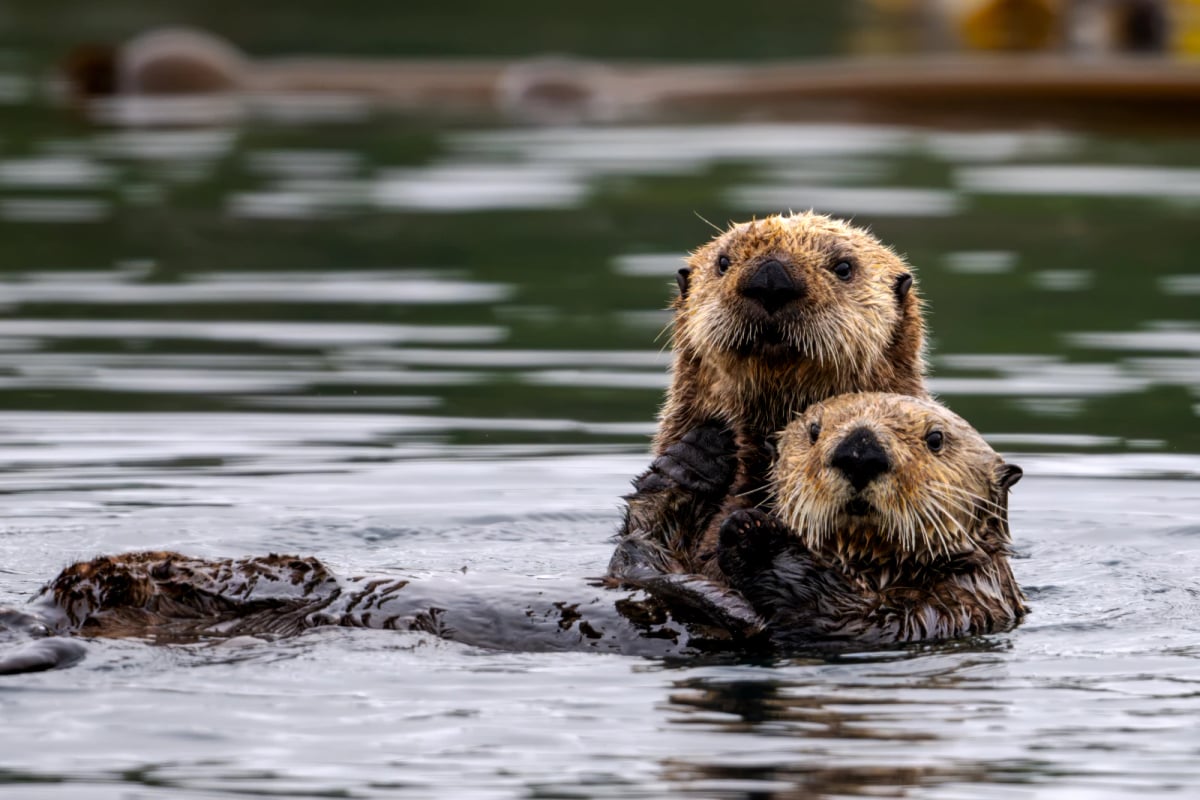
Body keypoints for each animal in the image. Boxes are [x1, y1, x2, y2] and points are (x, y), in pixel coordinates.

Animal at [716, 392, 1026, 645]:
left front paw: (754, 535)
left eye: (935, 439)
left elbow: (863, 621)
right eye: (814, 430)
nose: (860, 453)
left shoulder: (962, 603)